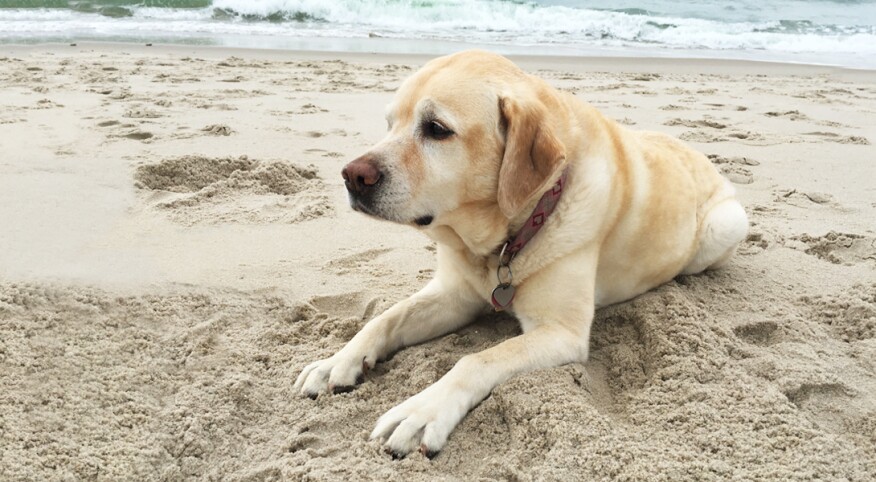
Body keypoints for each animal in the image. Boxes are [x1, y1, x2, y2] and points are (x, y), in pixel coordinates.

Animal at [294, 50, 744, 460]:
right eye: (390, 125)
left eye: (436, 128)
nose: (352, 176)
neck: (500, 244)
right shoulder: (455, 295)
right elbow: (385, 318)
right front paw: (337, 360)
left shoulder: (561, 332)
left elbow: (476, 360)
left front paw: (421, 412)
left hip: (727, 224)